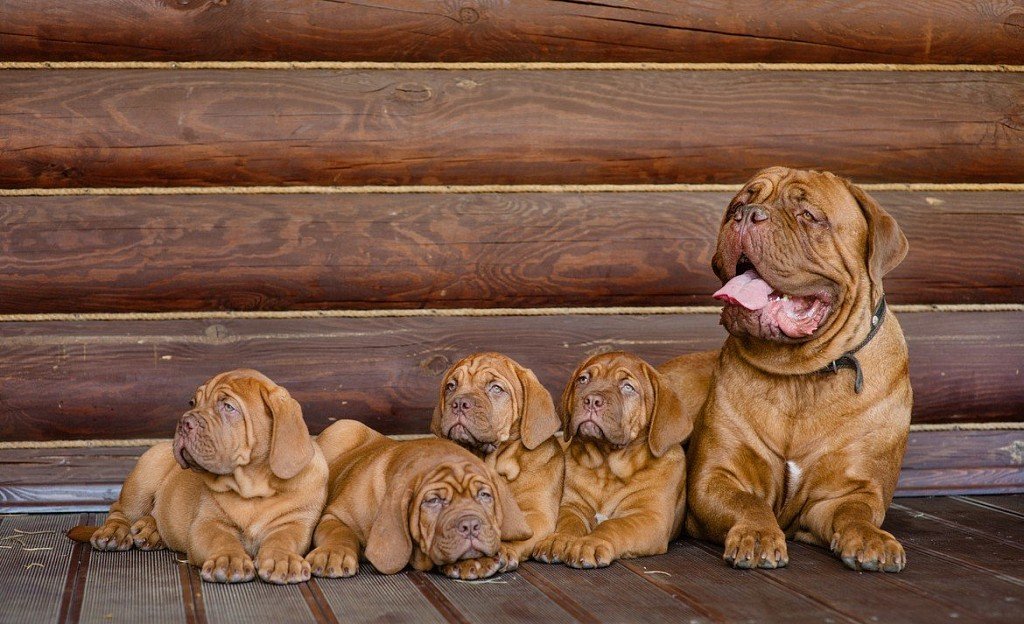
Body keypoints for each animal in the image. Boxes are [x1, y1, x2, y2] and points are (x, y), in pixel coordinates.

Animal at [67, 366, 327, 581]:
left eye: (228, 407)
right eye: (192, 402)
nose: (184, 423)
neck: (253, 488)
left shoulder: (295, 523)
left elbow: (283, 539)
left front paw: (283, 559)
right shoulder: (207, 523)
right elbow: (221, 538)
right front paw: (228, 559)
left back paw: (152, 530)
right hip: (144, 475)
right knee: (118, 510)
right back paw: (114, 532)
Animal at [305, 418, 532, 577]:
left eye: (484, 495)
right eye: (433, 501)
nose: (470, 525)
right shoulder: (333, 516)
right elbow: (340, 532)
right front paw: (334, 554)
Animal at [430, 350, 565, 573]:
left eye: (496, 388)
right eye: (451, 386)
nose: (459, 403)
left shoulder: (539, 514)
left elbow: (519, 532)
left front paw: (502, 549)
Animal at [532, 350, 692, 569]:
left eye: (627, 387)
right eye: (583, 379)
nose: (591, 400)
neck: (607, 468)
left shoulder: (649, 516)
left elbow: (614, 525)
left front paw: (590, 543)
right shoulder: (572, 506)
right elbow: (568, 522)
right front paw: (557, 539)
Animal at [688, 163, 913, 569]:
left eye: (808, 215)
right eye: (737, 206)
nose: (747, 215)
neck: (799, 373)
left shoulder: (846, 490)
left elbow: (855, 512)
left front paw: (872, 539)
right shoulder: (716, 477)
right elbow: (748, 503)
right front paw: (757, 535)